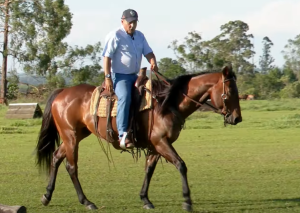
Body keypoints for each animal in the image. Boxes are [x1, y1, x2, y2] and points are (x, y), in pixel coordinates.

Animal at [35, 64, 243, 211]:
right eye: (230, 92)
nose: (237, 118)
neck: (167, 103)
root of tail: (62, 92)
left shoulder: (156, 145)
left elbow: (149, 169)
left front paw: (145, 199)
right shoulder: (161, 142)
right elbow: (181, 165)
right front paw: (187, 200)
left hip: (76, 135)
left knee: (56, 157)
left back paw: (47, 195)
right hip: (70, 136)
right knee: (71, 167)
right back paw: (86, 201)